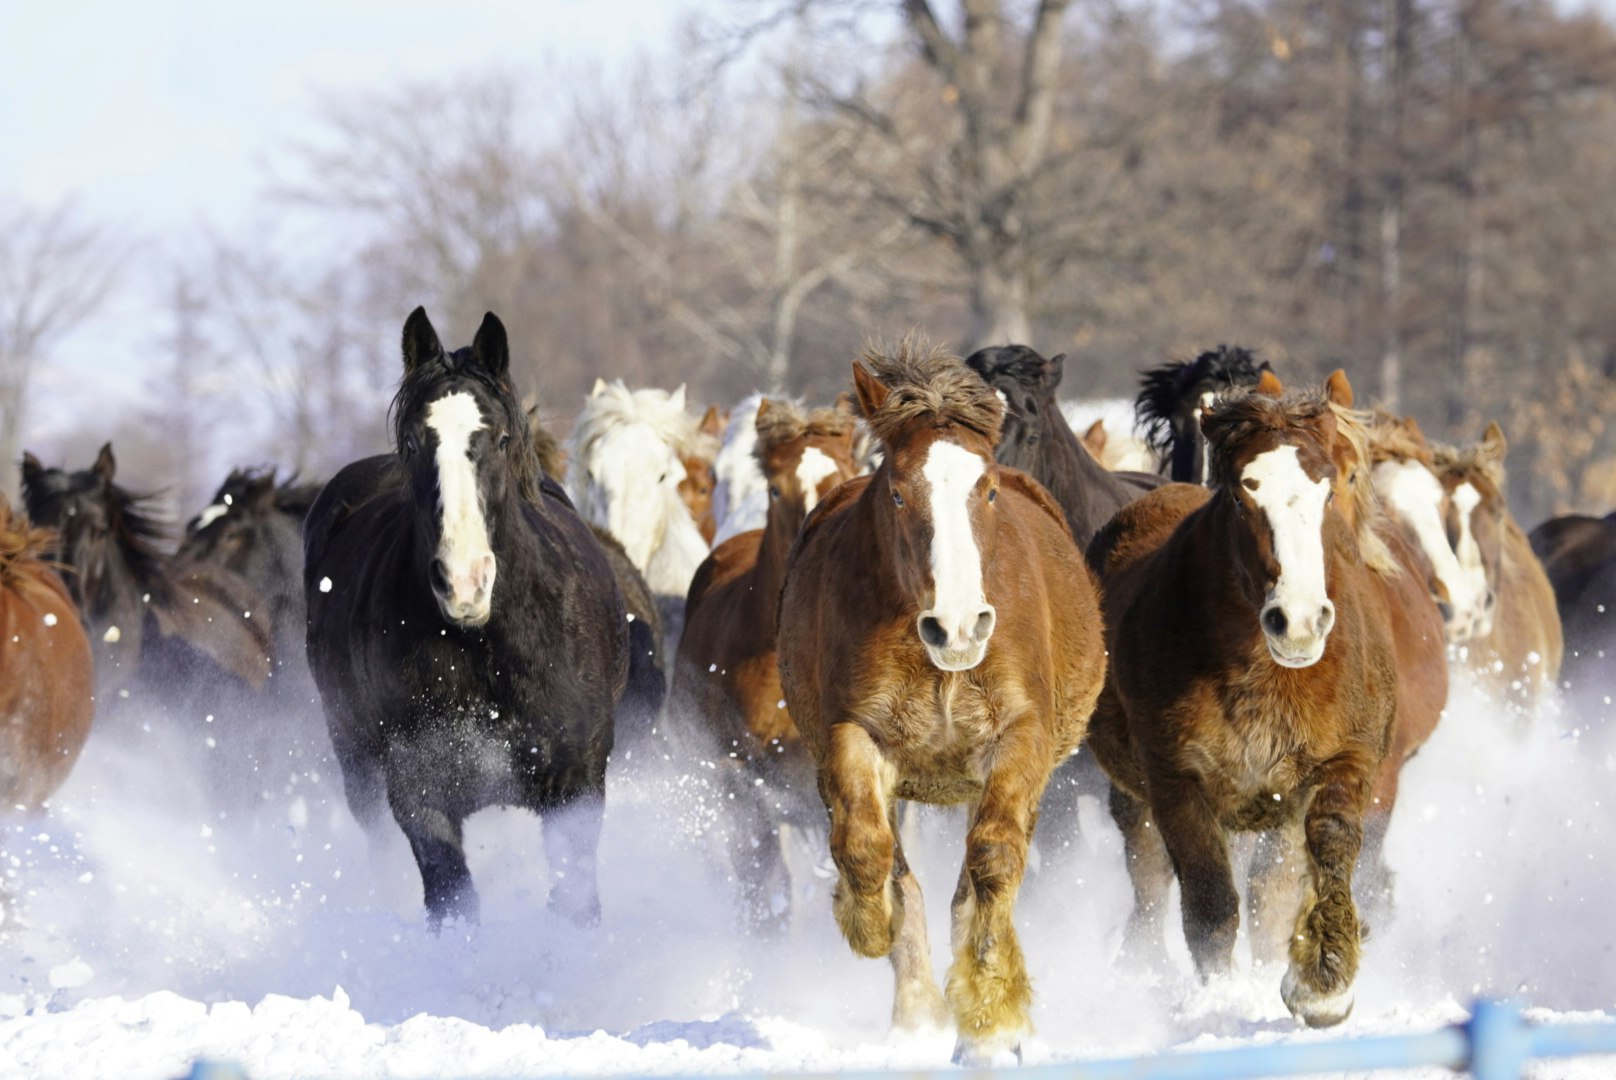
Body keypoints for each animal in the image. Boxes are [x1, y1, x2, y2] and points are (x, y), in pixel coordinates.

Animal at [303, 308, 632, 928]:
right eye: (413, 441)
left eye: (499, 438)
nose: (464, 581)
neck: (485, 645)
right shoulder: (421, 794)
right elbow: (454, 905)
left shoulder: (576, 787)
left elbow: (575, 901)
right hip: (355, 762)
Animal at [777, 342, 1105, 1064]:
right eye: (898, 490)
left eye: (987, 489)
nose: (957, 627)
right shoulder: (853, 736)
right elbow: (869, 852)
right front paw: (868, 924)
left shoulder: (1019, 738)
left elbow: (992, 861)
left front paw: (993, 1018)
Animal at [1085, 381, 1396, 1028]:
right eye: (1240, 493)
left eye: (1330, 488)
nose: (1299, 621)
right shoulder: (1176, 779)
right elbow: (1208, 900)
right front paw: (1220, 1001)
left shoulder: (1339, 763)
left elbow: (1327, 850)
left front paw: (1324, 981)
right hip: (1140, 794)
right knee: (1150, 875)